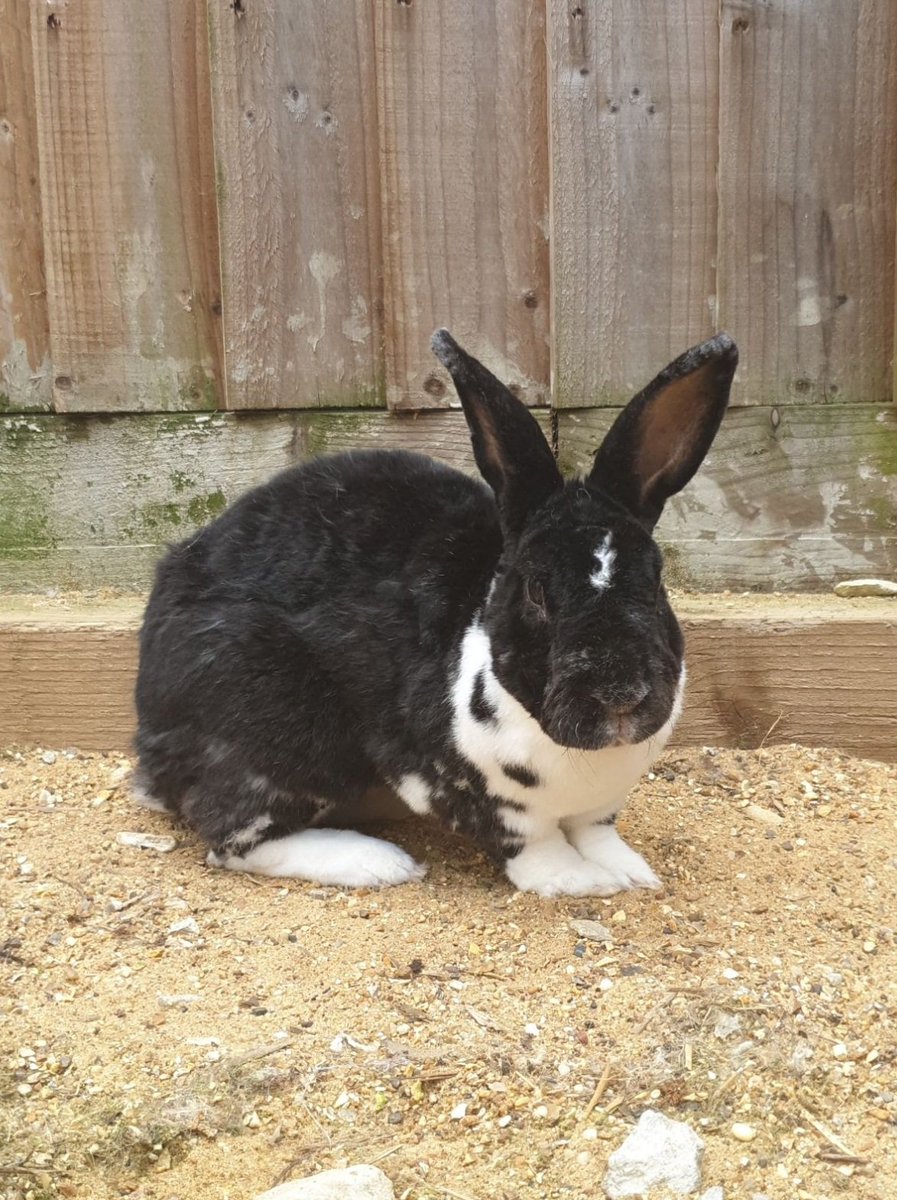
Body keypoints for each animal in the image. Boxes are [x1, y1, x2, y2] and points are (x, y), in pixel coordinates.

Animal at [132, 328, 737, 897]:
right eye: (536, 593)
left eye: (656, 583)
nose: (620, 697)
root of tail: (151, 743)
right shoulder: (482, 794)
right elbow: (536, 846)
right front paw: (581, 882)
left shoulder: (600, 805)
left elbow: (596, 832)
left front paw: (632, 873)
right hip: (276, 734)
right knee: (233, 837)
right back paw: (376, 862)